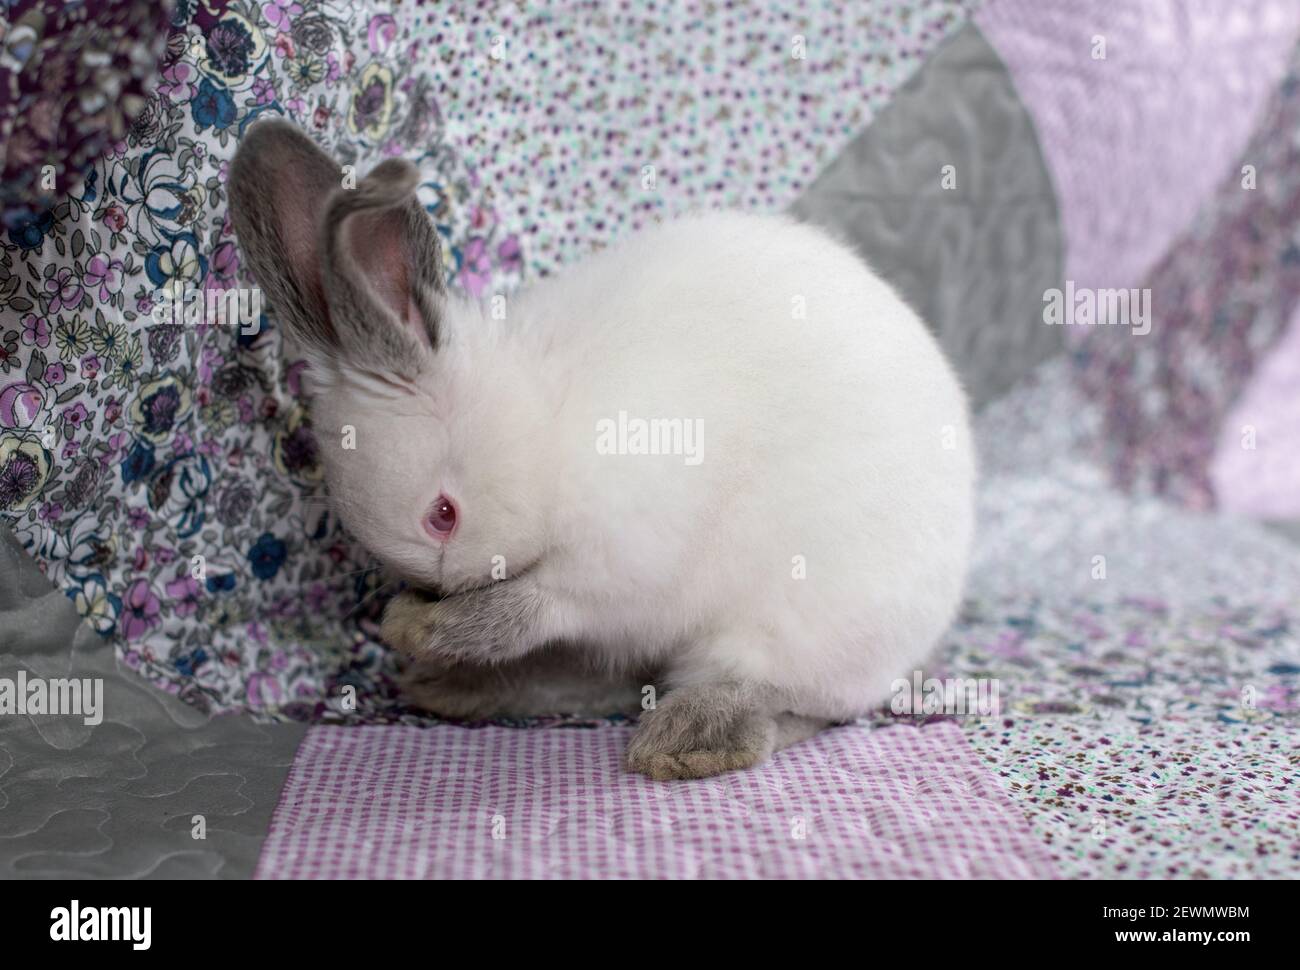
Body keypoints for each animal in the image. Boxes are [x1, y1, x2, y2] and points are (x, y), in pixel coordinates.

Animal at [228, 120, 975, 780]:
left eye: (444, 516)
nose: (434, 593)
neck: (546, 429)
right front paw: (421, 636)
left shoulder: (619, 560)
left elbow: (533, 607)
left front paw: (427, 629)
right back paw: (457, 688)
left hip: (797, 628)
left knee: (794, 703)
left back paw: (689, 739)